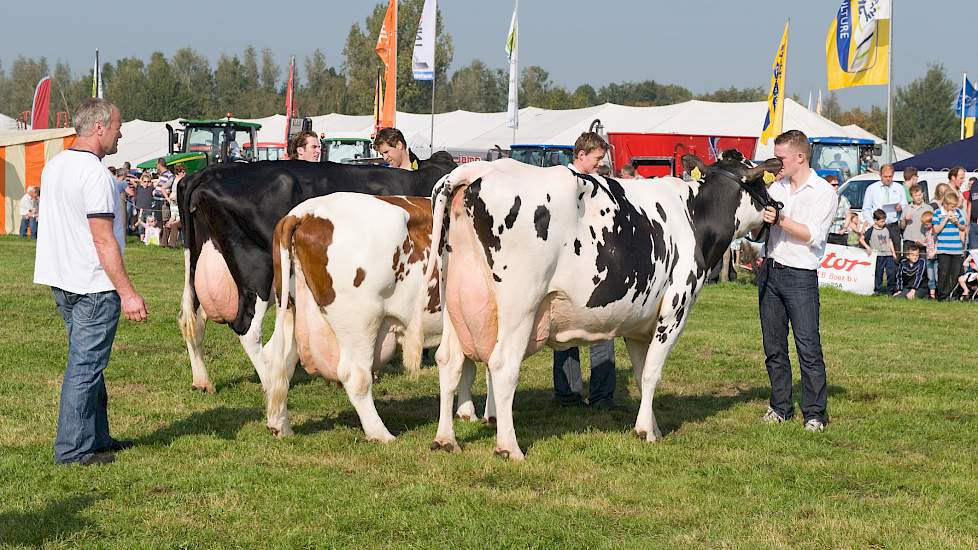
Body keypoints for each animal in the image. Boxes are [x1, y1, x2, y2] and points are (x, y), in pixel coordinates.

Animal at [176, 155, 458, 394]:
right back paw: (269, 381)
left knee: (193, 319)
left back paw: (202, 381)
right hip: (256, 271)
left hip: (202, 264)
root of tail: (208, 173)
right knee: (246, 327)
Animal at [426, 151, 776, 462]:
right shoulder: (674, 310)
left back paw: (445, 440)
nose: (778, 208)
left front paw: (652, 426)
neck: (693, 215)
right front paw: (645, 432)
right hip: (519, 306)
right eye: (761, 183)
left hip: (455, 299)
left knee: (449, 360)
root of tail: (478, 170)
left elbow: (640, 374)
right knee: (502, 366)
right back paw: (509, 448)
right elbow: (652, 373)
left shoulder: (639, 324)